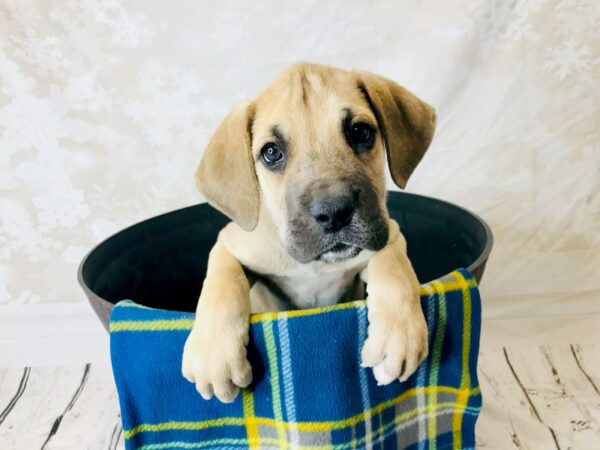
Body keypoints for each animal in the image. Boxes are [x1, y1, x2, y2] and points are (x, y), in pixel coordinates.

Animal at [182, 61, 436, 402]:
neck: (315, 265)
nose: (334, 213)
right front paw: (213, 354)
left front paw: (399, 336)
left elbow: (394, 268)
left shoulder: (387, 233)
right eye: (271, 152)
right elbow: (222, 281)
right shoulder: (230, 242)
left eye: (361, 131)